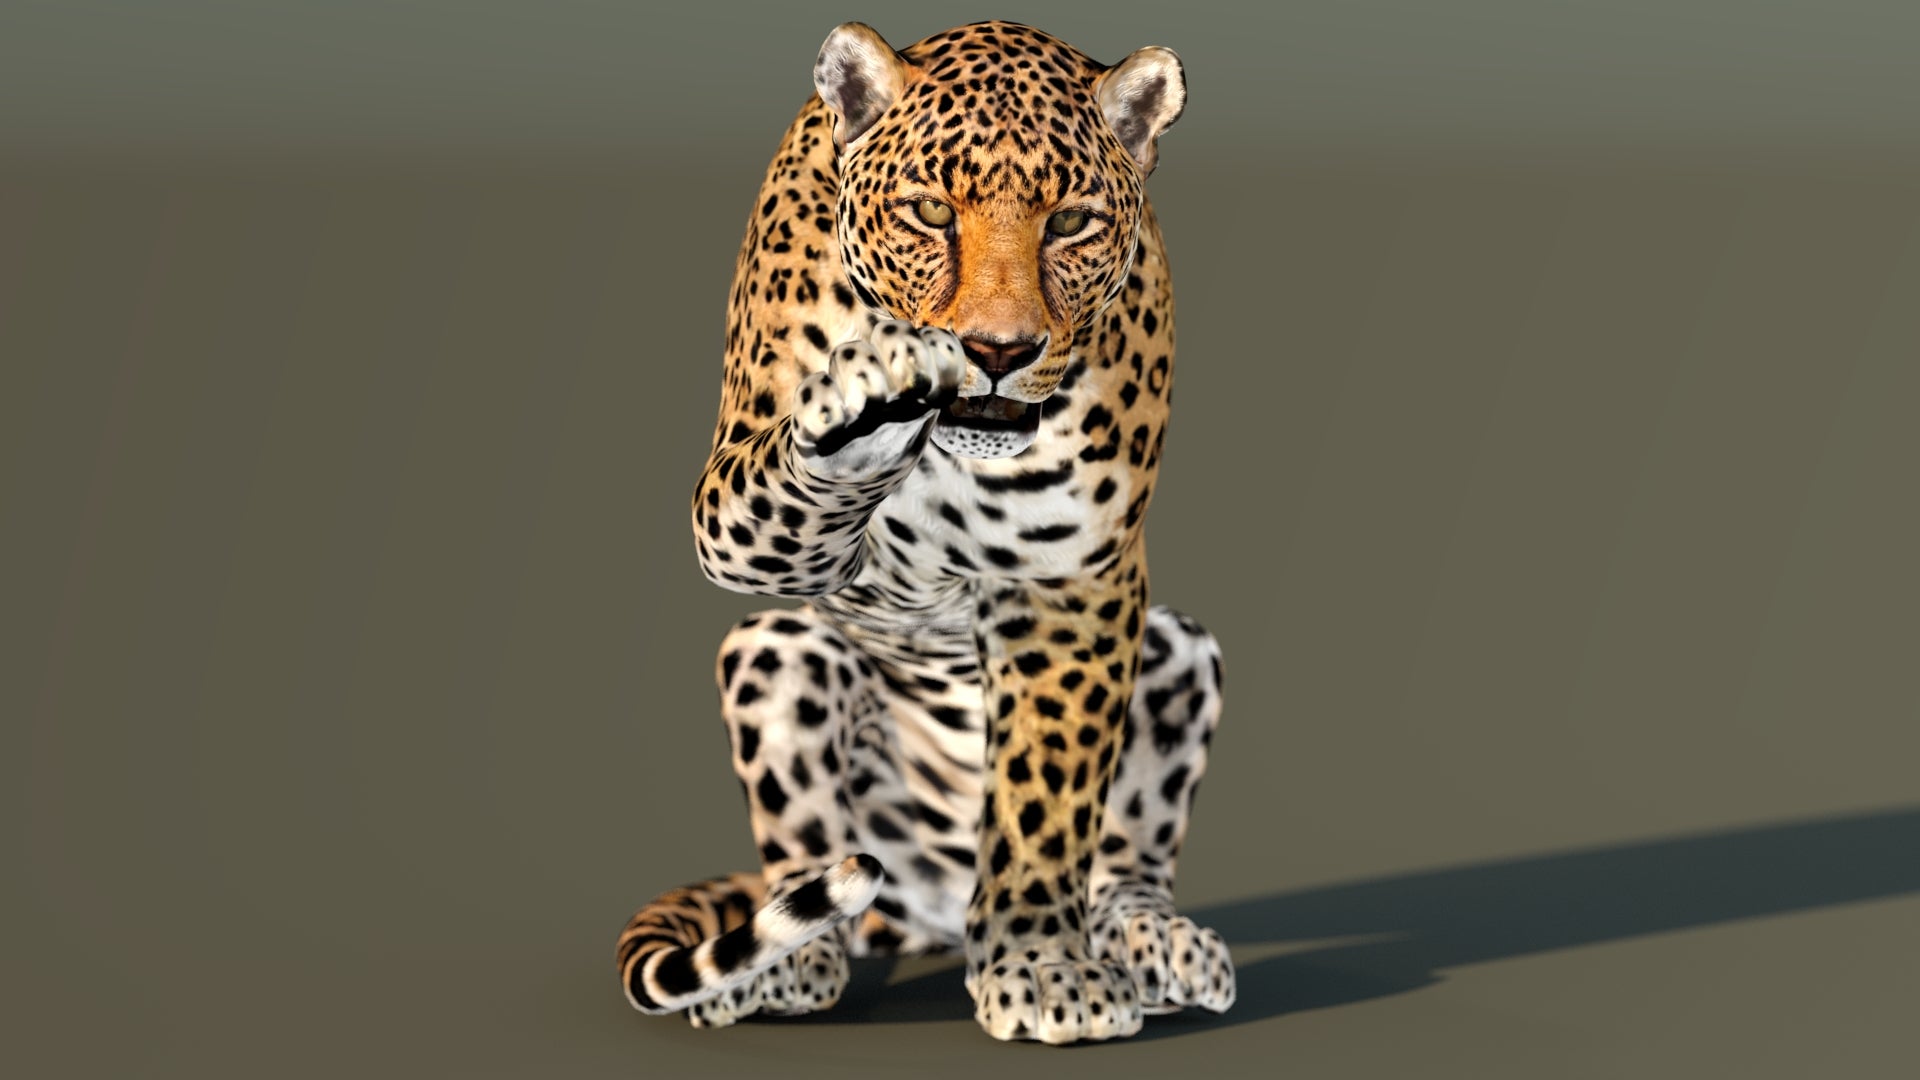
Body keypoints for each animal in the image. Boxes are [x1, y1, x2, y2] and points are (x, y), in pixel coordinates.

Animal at [615, 20, 1234, 1045]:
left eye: (1071, 223)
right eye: (929, 212)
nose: (998, 349)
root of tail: (928, 909)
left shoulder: (1070, 580)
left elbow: (1045, 801)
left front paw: (1041, 964)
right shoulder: (735, 512)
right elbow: (799, 477)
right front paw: (871, 388)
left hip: (1181, 652)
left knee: (1126, 864)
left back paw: (1161, 943)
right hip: (775, 655)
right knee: (812, 876)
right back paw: (776, 973)